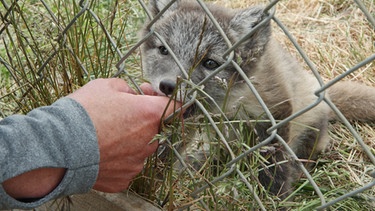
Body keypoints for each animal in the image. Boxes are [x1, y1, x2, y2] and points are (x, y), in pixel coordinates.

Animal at [140, 0, 375, 198]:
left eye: (209, 63)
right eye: (164, 50)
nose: (168, 86)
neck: (231, 101)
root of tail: (315, 86)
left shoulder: (275, 113)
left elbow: (273, 168)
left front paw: (274, 199)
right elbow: (168, 146)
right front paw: (152, 172)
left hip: (308, 127)